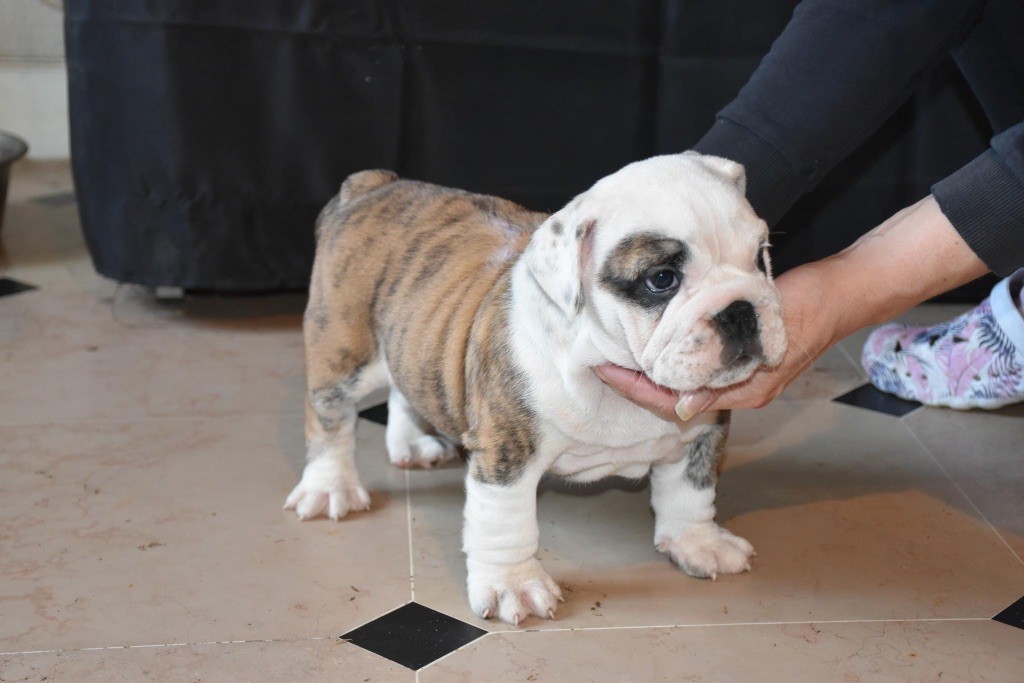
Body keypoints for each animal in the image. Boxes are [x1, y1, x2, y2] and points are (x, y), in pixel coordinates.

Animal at [286, 153, 787, 625]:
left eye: (760, 256)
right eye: (661, 279)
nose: (739, 309)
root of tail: (375, 184)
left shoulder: (703, 430)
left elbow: (691, 490)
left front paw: (698, 542)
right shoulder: (506, 452)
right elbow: (505, 523)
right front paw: (513, 585)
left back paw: (409, 444)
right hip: (343, 348)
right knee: (329, 417)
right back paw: (330, 487)